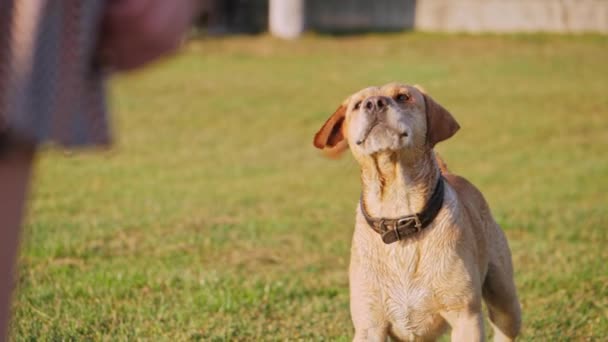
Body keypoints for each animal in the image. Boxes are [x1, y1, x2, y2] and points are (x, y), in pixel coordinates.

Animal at [316, 83, 520, 342]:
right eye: (357, 104)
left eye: (403, 97)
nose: (374, 103)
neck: (397, 215)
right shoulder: (369, 325)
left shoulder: (465, 316)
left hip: (505, 299)